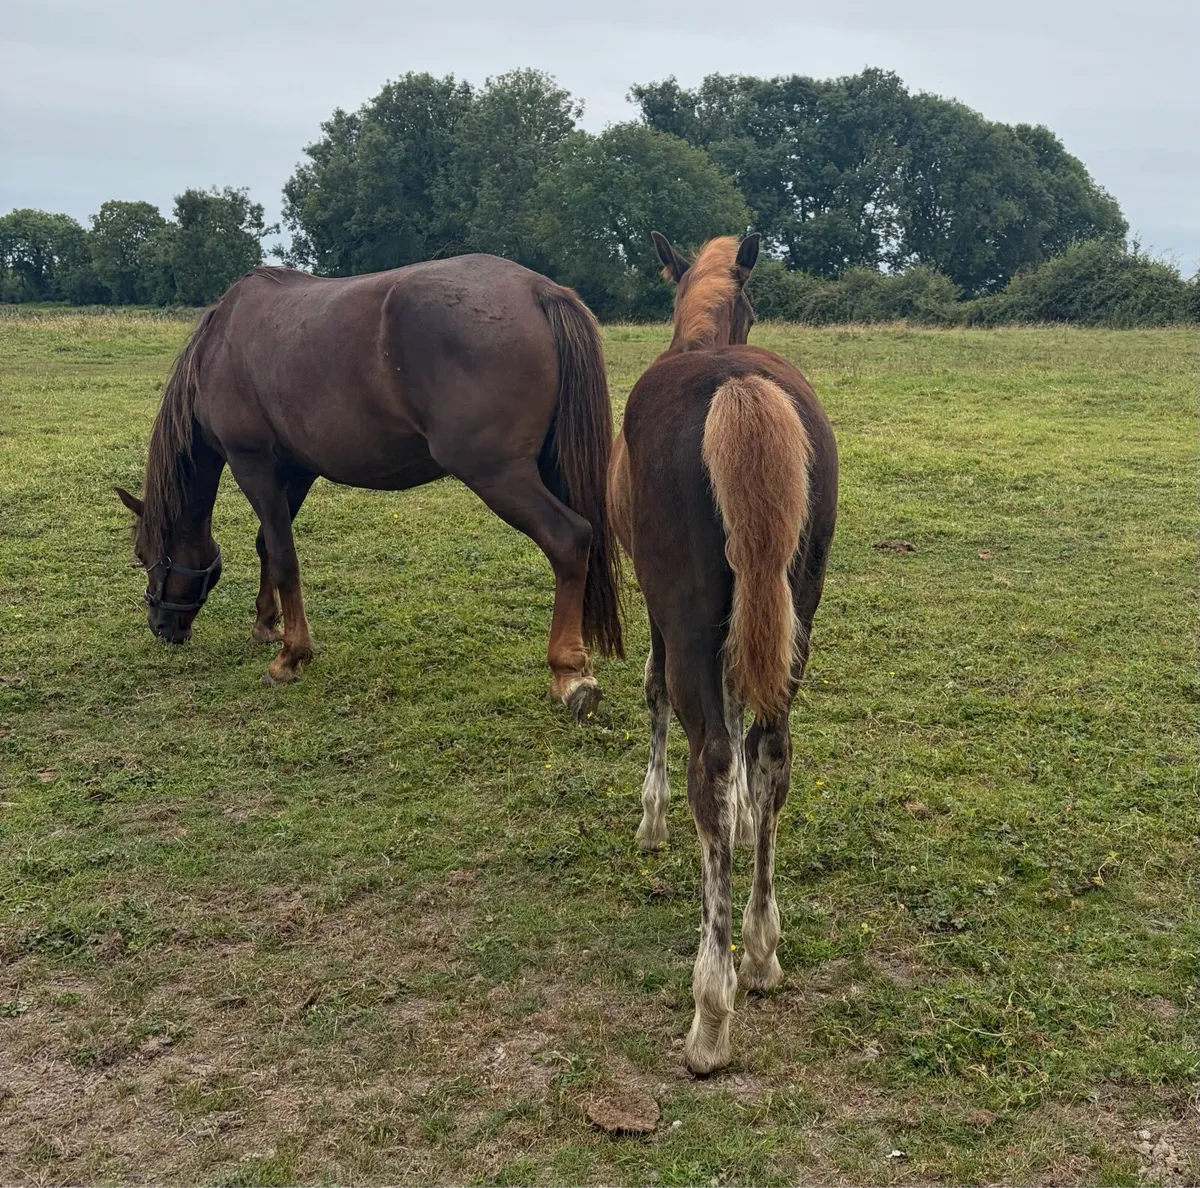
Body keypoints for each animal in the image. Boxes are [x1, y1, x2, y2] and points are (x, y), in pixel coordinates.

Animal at [115, 256, 623, 717]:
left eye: (143, 555)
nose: (161, 626)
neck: (219, 346)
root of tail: (538, 290)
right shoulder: (296, 471)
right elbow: (267, 548)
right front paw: (266, 625)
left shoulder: (252, 465)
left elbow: (283, 556)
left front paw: (290, 657)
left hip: (497, 474)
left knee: (569, 539)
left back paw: (568, 674)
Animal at [607, 232, 838, 1073]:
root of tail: (735, 383)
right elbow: (743, 730)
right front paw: (740, 821)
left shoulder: (658, 609)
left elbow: (651, 692)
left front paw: (651, 820)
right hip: (795, 606)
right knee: (773, 749)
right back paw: (762, 952)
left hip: (686, 611)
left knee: (707, 757)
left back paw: (712, 1009)